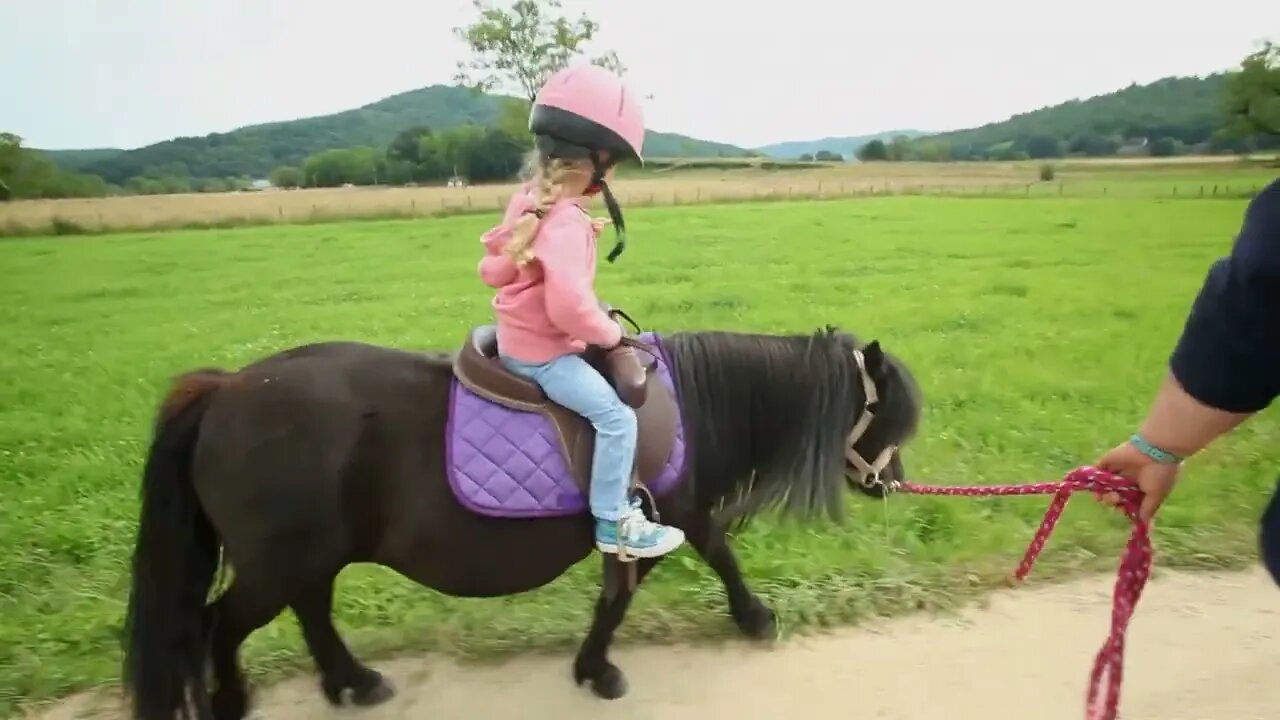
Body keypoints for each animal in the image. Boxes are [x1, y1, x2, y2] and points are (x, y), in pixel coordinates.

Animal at [120, 322, 921, 712]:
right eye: (888, 417)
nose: (893, 483)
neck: (691, 403)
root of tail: (227, 389)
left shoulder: (667, 520)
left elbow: (650, 582)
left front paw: (596, 664)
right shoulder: (674, 514)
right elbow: (699, 562)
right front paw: (748, 621)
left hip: (309, 554)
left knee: (310, 611)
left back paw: (354, 682)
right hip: (278, 559)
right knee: (217, 626)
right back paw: (234, 701)